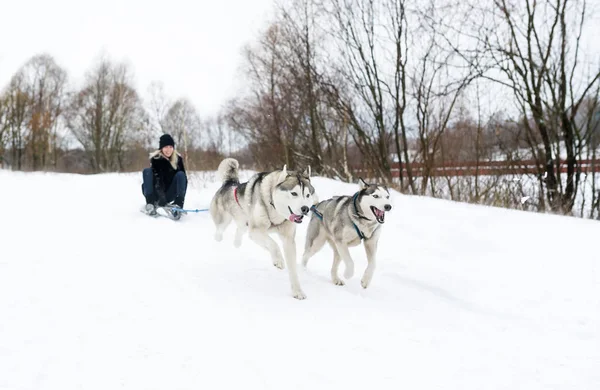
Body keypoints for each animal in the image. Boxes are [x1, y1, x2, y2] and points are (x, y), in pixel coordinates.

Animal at [210, 158, 316, 298]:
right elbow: (274, 244)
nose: (305, 209)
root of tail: (230, 183)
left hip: (244, 223)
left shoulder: (288, 240)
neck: (275, 209)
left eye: (308, 195)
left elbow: (292, 268)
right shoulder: (256, 231)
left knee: (240, 230)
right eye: (294, 193)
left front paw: (297, 291)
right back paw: (218, 240)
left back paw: (237, 243)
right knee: (219, 231)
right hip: (225, 221)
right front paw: (278, 260)